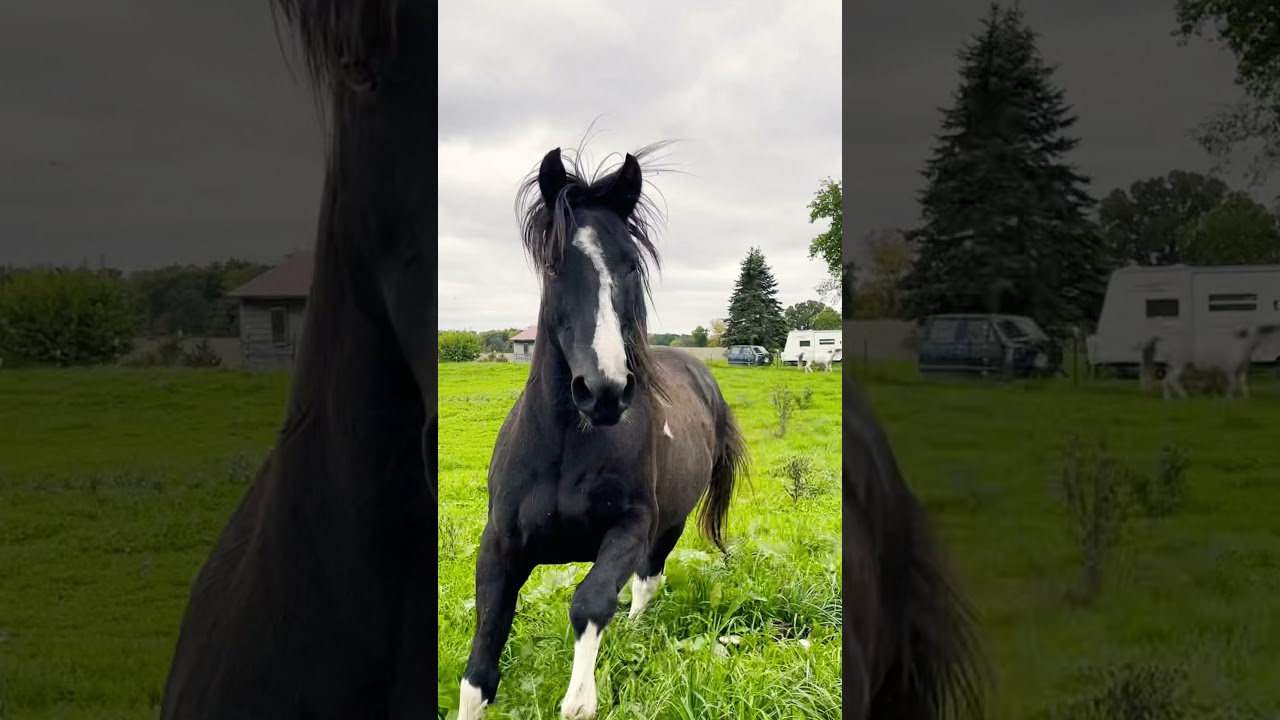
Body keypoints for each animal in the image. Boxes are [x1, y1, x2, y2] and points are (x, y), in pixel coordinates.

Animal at [457, 146, 750, 720]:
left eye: (631, 263)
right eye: (553, 265)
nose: (605, 389)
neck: (564, 449)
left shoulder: (632, 526)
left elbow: (591, 601)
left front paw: (580, 698)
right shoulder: (499, 546)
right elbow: (479, 669)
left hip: (670, 523)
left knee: (647, 580)